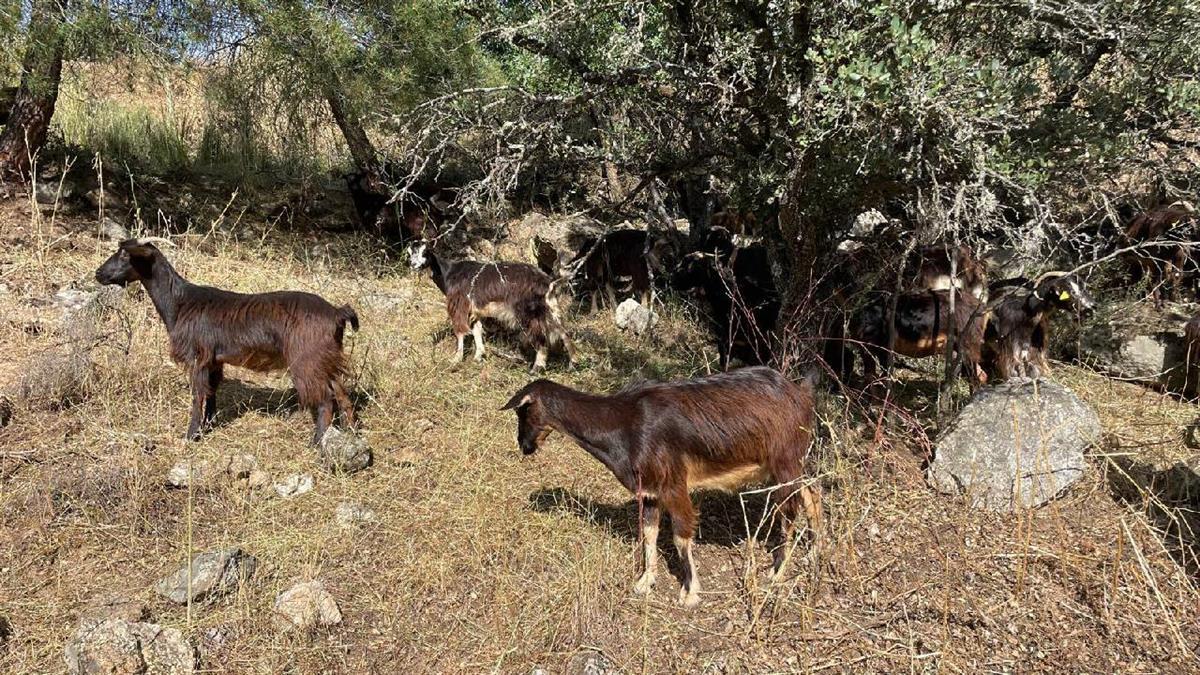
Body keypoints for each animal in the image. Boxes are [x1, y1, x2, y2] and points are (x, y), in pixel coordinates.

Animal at [94, 239, 357, 444]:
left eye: (125, 254)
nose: (98, 274)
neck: (180, 303)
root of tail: (336, 312)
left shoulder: (198, 357)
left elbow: (198, 395)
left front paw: (191, 435)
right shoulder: (213, 360)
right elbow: (212, 392)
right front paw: (209, 425)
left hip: (307, 360)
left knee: (325, 399)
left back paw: (317, 442)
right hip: (325, 358)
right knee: (341, 393)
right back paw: (349, 431)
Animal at [412, 241, 576, 369]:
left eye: (425, 252)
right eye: (410, 252)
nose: (414, 265)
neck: (449, 272)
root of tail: (548, 282)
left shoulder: (459, 306)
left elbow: (460, 332)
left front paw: (456, 360)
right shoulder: (474, 310)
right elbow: (477, 330)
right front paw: (478, 356)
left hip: (528, 312)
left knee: (541, 338)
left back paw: (537, 367)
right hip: (548, 308)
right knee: (563, 331)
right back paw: (573, 363)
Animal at [499, 365, 825, 607]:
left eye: (522, 411)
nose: (524, 445)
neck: (623, 423)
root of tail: (801, 394)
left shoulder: (673, 484)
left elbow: (681, 535)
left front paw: (690, 592)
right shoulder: (650, 491)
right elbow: (649, 532)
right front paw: (645, 581)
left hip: (785, 462)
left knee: (789, 511)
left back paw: (778, 572)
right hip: (788, 464)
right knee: (812, 493)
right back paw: (814, 551)